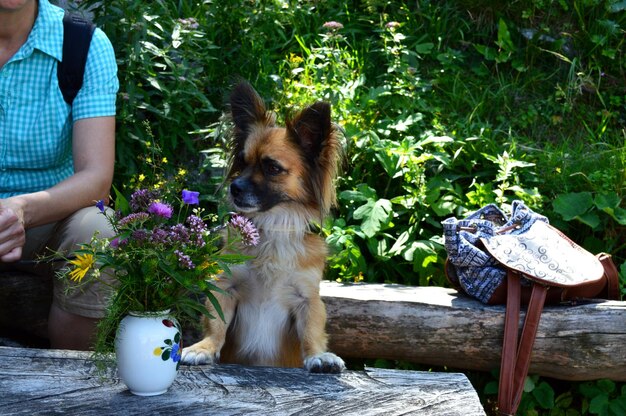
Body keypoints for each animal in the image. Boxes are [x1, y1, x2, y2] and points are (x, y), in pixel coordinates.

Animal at [179, 82, 346, 374]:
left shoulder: (307, 298)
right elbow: (216, 324)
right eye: (243, 163)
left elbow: (312, 331)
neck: (273, 225)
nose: (235, 187)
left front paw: (319, 356)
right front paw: (203, 348)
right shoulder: (226, 286)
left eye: (272, 168)